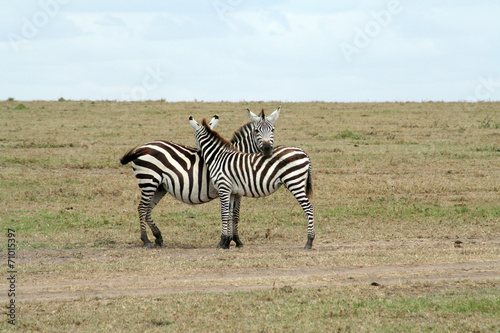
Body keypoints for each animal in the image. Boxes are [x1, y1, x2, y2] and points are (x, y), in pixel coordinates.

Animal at [118, 106, 280, 246]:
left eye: (273, 130)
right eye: (257, 131)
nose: (267, 149)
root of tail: (142, 147)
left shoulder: (233, 189)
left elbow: (233, 214)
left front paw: (232, 240)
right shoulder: (236, 189)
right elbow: (234, 214)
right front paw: (235, 240)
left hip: (159, 186)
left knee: (148, 209)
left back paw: (158, 236)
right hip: (148, 181)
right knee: (142, 208)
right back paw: (146, 240)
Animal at [189, 115, 314, 248]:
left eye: (194, 136)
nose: (197, 153)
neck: (218, 156)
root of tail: (304, 153)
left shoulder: (224, 187)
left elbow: (224, 214)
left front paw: (222, 241)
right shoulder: (232, 191)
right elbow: (230, 215)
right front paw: (228, 241)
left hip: (294, 181)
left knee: (308, 207)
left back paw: (309, 241)